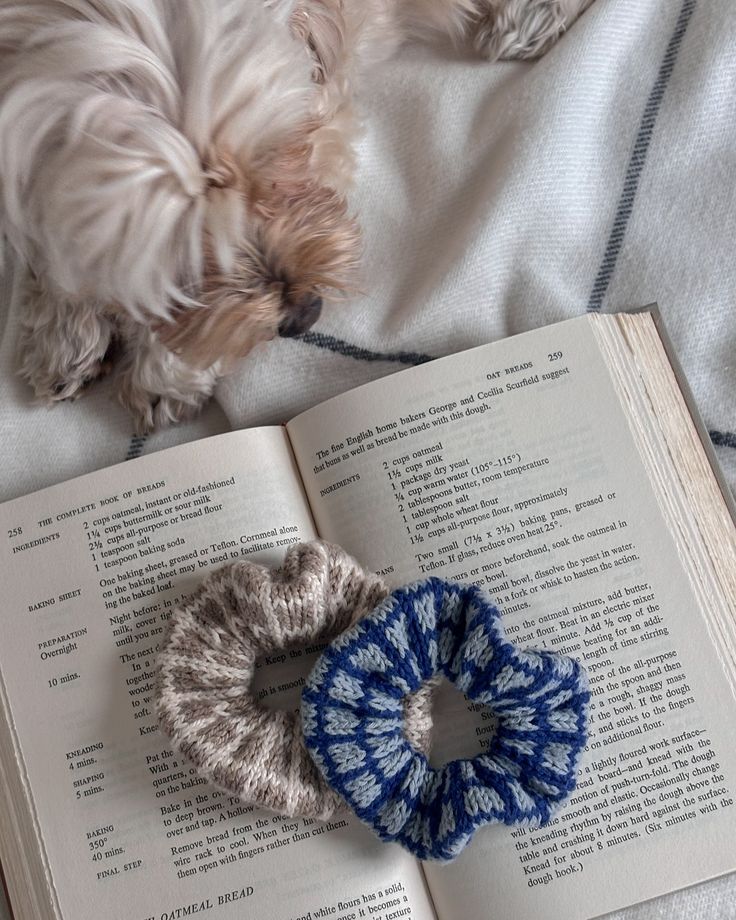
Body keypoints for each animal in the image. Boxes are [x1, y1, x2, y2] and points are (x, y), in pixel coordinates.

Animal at [0, 0, 592, 432]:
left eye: (282, 153)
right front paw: (63, 332)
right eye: (173, 248)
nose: (303, 315)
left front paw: (165, 371)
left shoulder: (327, 114)